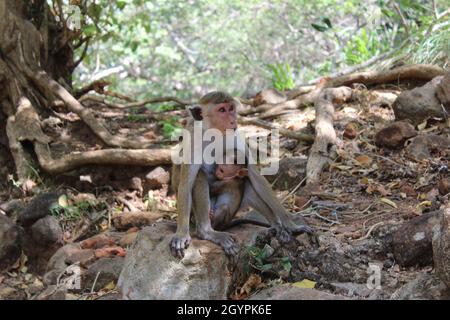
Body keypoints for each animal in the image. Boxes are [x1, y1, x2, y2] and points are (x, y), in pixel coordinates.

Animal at [171, 91, 312, 258]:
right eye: (222, 110)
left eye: (231, 108)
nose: (233, 120)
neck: (216, 133)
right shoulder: (193, 140)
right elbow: (186, 184)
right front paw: (181, 234)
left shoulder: (236, 137)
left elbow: (256, 177)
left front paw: (290, 225)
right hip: (196, 216)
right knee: (199, 176)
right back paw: (207, 232)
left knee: (247, 182)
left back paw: (277, 227)